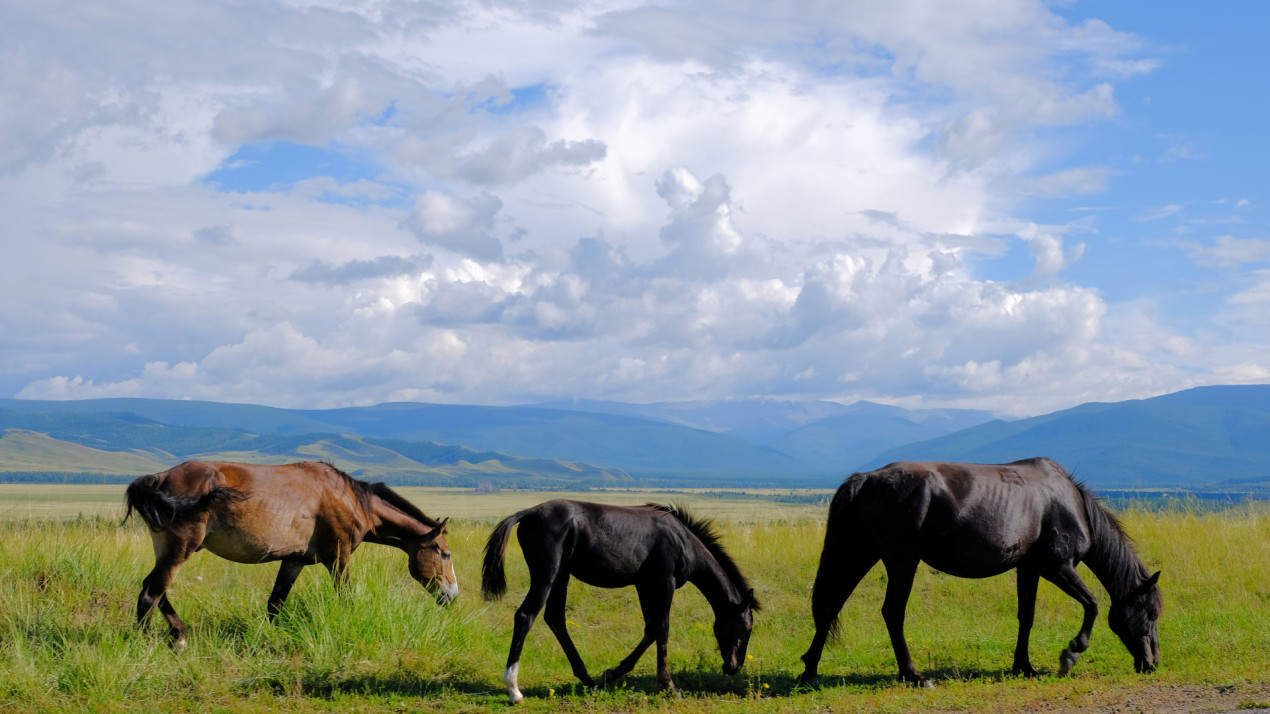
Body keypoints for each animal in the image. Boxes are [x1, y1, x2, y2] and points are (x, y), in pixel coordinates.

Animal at [122, 457, 457, 647]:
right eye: (445, 554)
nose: (452, 596)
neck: (349, 498)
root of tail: (157, 479)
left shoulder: (294, 561)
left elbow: (275, 604)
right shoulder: (339, 558)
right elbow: (346, 598)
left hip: (169, 550)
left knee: (155, 589)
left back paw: (178, 635)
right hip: (180, 550)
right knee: (150, 594)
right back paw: (150, 643)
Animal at [477, 498, 751, 701]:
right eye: (746, 627)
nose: (734, 667)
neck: (682, 540)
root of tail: (528, 513)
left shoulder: (644, 586)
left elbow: (651, 629)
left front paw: (612, 673)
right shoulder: (664, 583)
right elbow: (662, 628)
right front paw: (669, 686)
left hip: (561, 576)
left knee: (555, 618)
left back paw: (588, 680)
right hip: (546, 576)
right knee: (525, 616)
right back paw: (514, 690)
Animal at [797, 454, 1163, 686]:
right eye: (1150, 613)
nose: (1153, 663)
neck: (1069, 502)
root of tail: (868, 479)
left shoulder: (1028, 569)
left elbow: (1026, 616)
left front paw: (1024, 666)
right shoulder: (1057, 567)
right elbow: (1092, 605)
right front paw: (1070, 653)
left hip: (861, 554)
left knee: (831, 605)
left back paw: (810, 670)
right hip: (901, 561)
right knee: (892, 612)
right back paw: (913, 675)